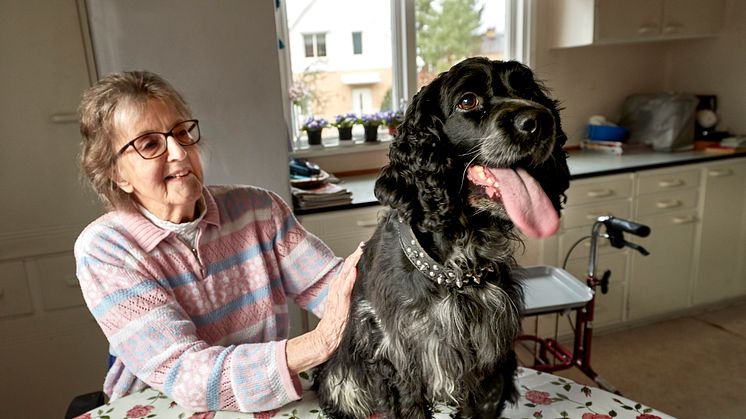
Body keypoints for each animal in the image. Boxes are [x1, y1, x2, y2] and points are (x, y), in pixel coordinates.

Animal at [310, 57, 568, 418]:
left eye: (528, 90)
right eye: (467, 100)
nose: (540, 121)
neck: (458, 269)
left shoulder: (489, 364)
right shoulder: (399, 359)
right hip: (341, 379)